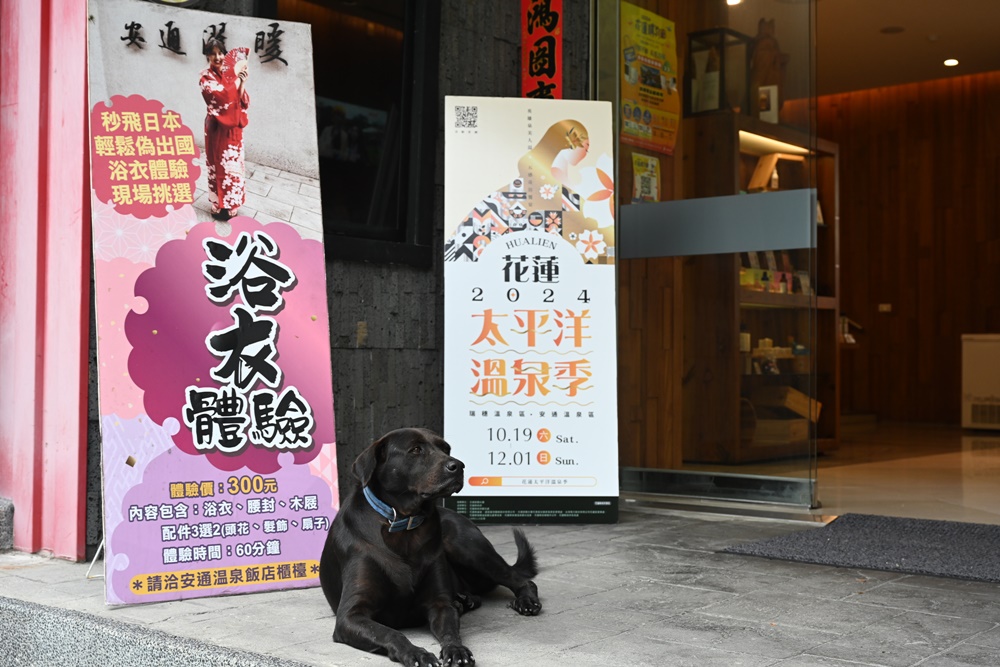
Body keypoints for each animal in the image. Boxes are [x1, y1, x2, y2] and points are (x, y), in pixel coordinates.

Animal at [320, 430, 544, 664]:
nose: (459, 466)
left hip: (467, 548)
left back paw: (524, 601)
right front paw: (416, 653)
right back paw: (465, 601)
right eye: (416, 450)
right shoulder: (351, 615)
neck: (403, 523)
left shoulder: (440, 604)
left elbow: (450, 632)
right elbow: (390, 632)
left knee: (521, 580)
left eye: (446, 449)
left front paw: (456, 650)